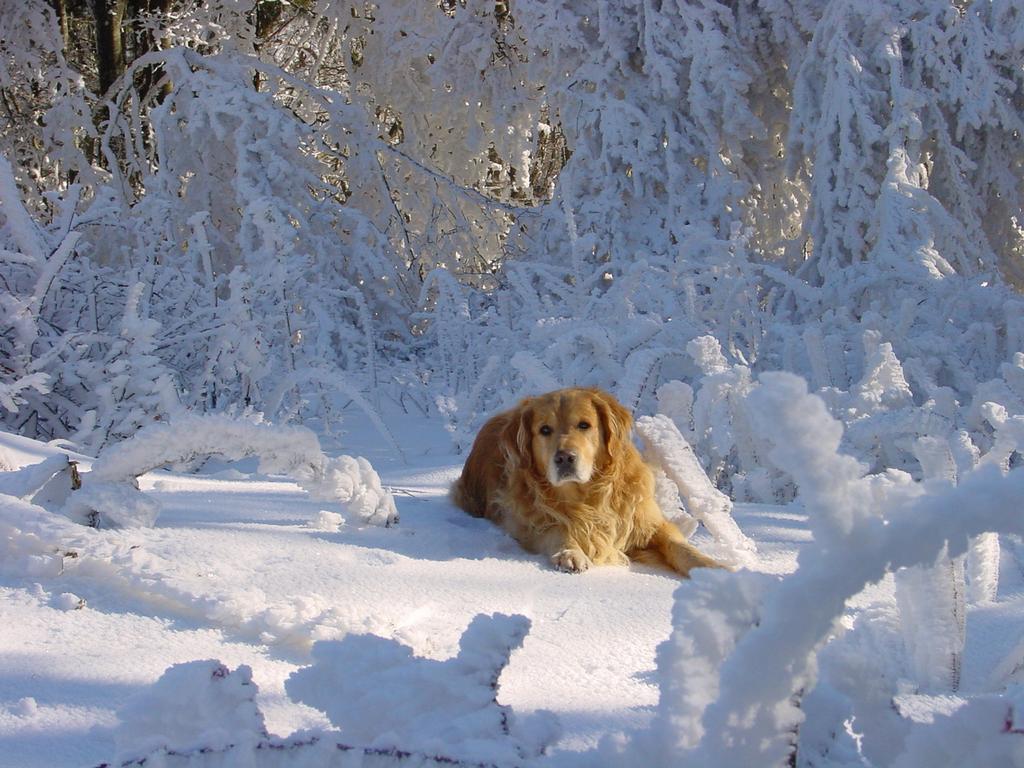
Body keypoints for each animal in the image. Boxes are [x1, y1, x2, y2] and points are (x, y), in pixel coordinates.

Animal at [452, 387, 724, 573]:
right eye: (544, 430)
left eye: (584, 425)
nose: (564, 458)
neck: (588, 495)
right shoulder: (530, 523)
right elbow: (558, 529)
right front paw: (570, 552)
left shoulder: (650, 524)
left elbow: (682, 548)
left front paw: (717, 569)